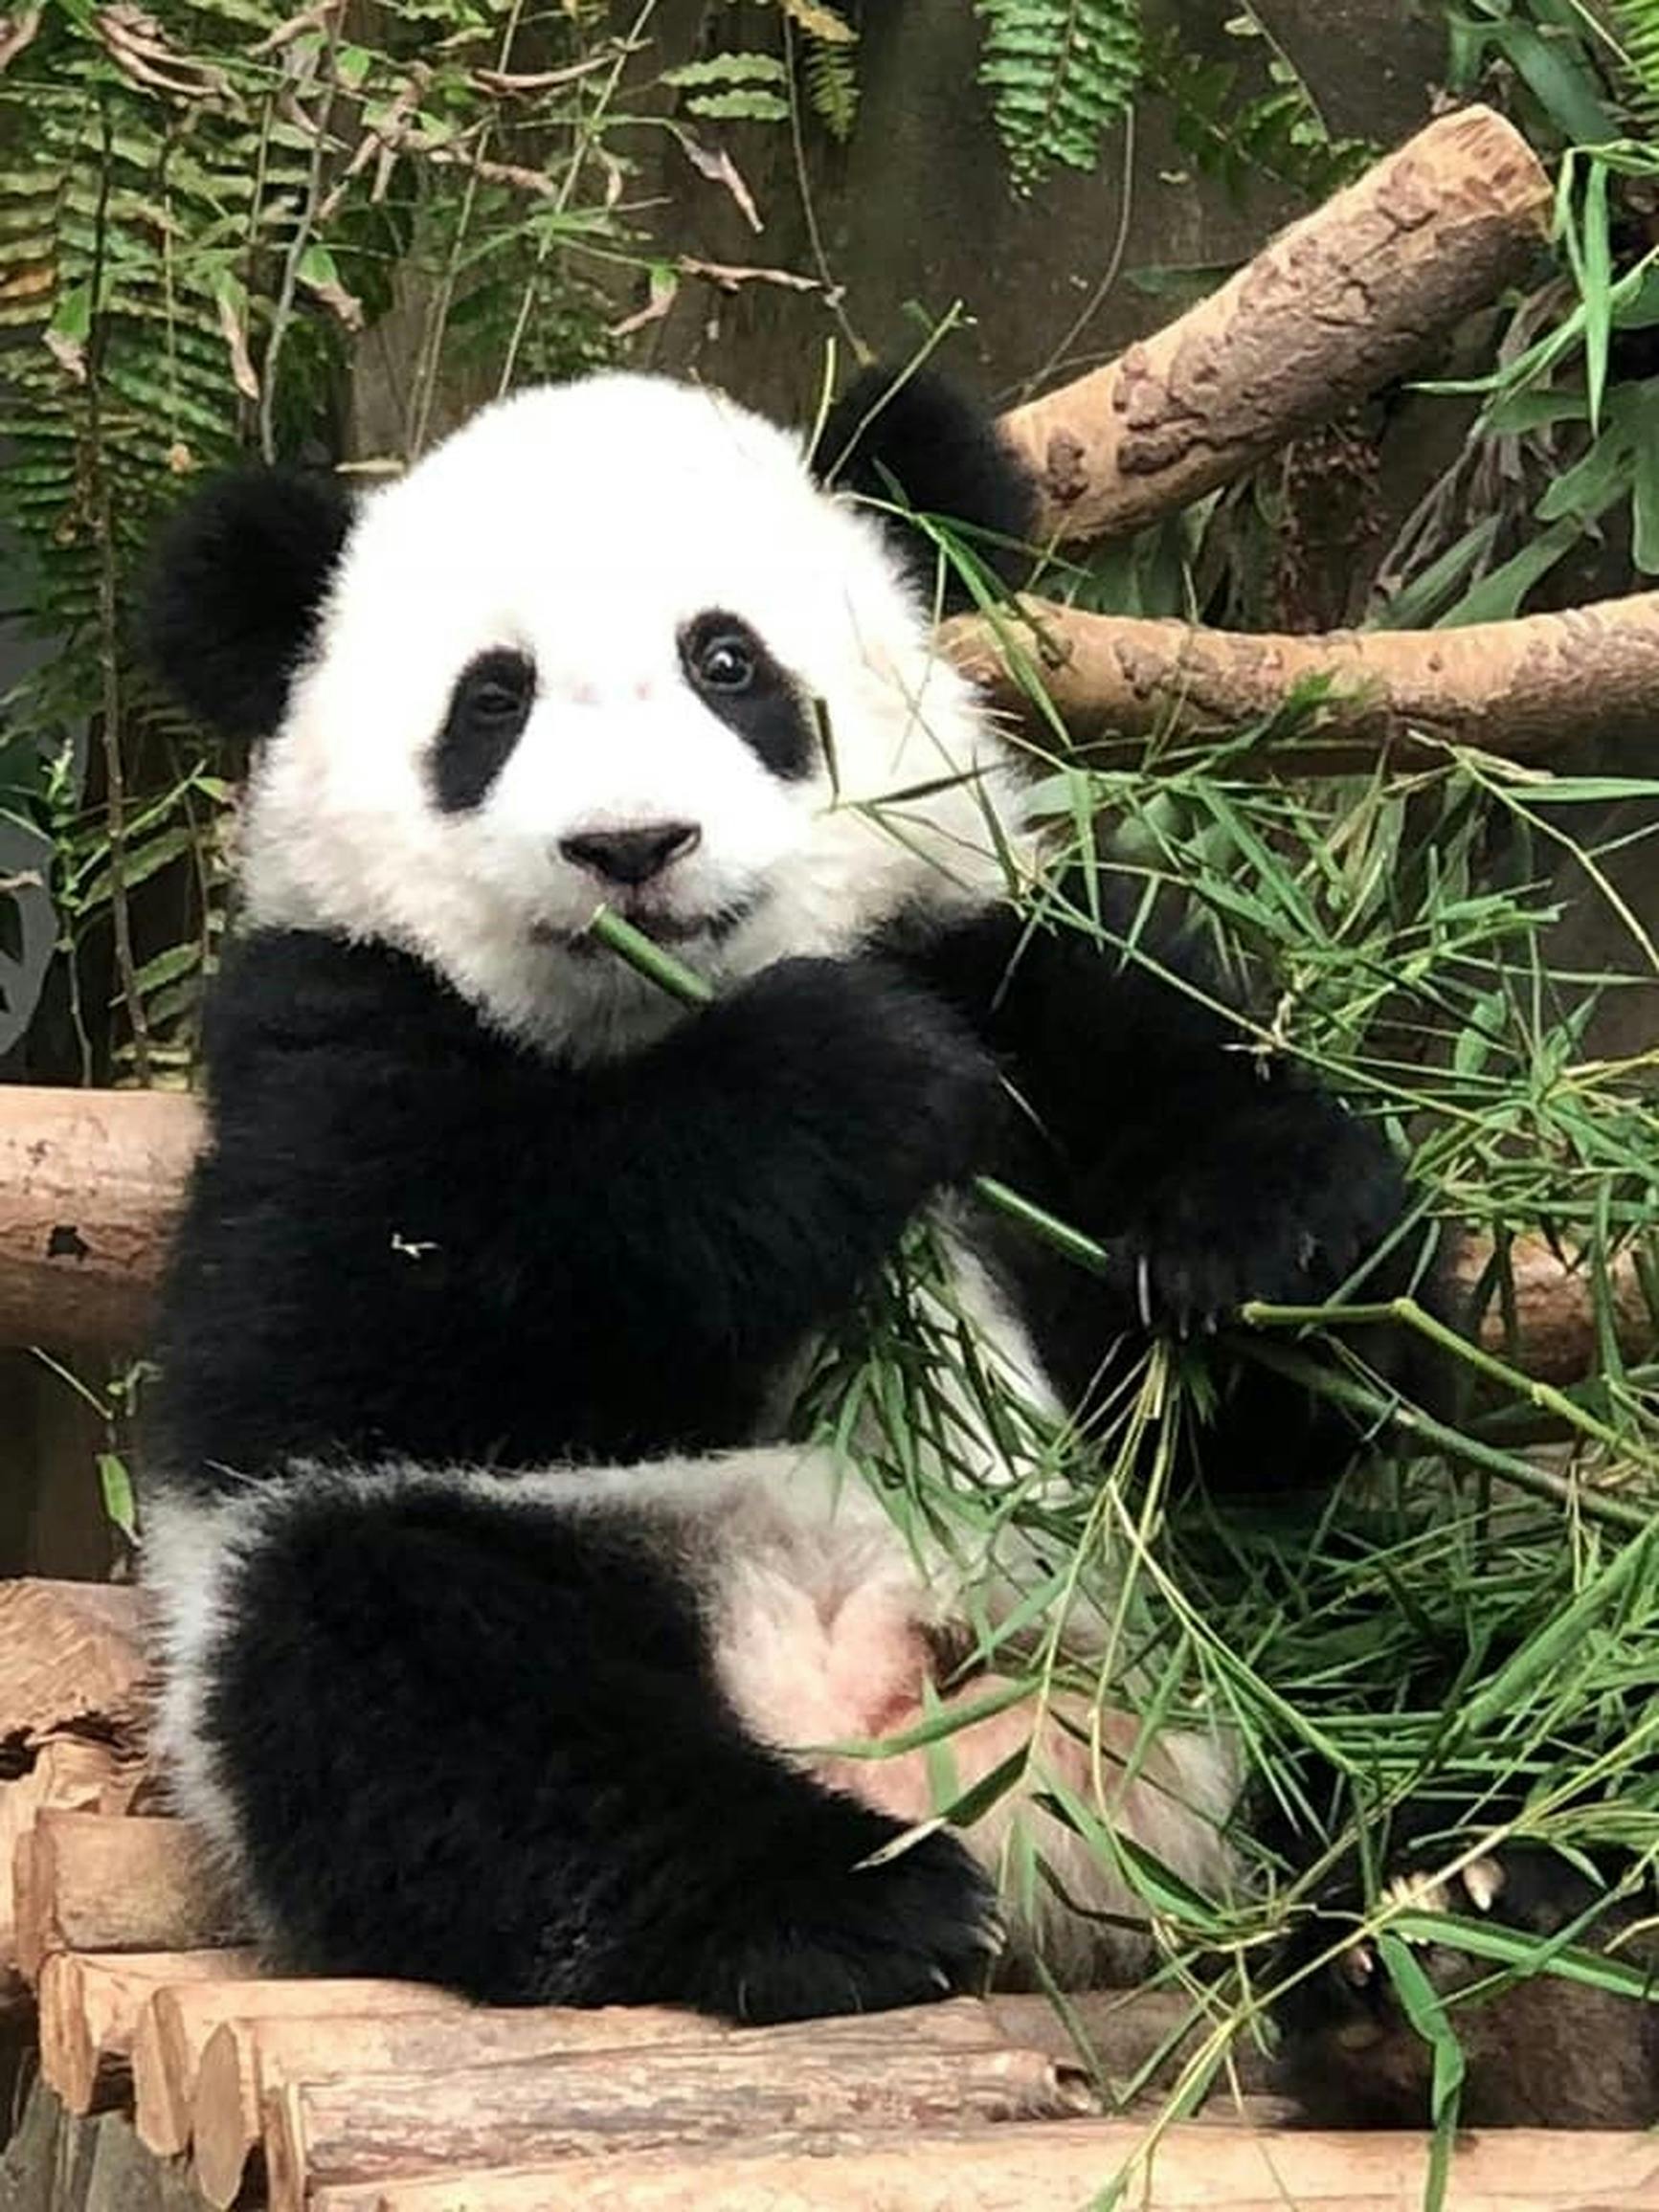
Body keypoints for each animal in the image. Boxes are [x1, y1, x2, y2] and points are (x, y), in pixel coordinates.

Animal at [137, 364, 1410, 2028]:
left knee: (1406, 1639)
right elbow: (356, 1321)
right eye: (491, 703)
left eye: (726, 659)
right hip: (441, 1590)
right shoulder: (331, 1037)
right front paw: (839, 1075)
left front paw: (1263, 1245)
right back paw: (847, 1902)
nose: (631, 846)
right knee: (410, 1677)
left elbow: (1260, 1315)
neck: (662, 1017)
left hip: (1204, 1605)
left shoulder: (992, 956)